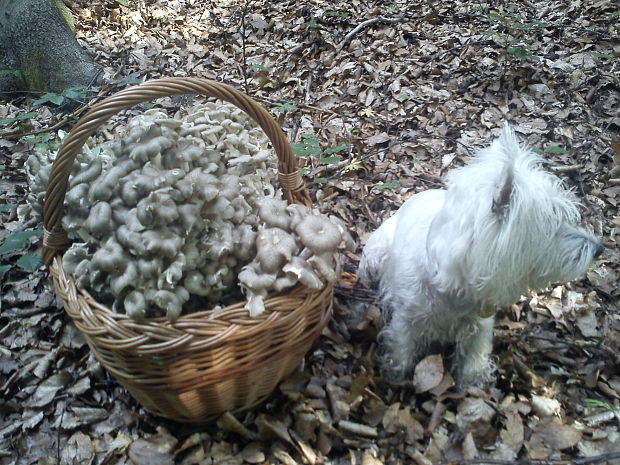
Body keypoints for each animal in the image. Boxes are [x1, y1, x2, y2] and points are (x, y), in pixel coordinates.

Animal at [356, 123, 604, 388]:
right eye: (554, 224)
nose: (599, 250)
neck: (453, 286)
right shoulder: (406, 319)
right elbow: (401, 348)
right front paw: (395, 375)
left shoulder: (479, 325)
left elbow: (475, 354)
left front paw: (474, 382)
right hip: (376, 253)